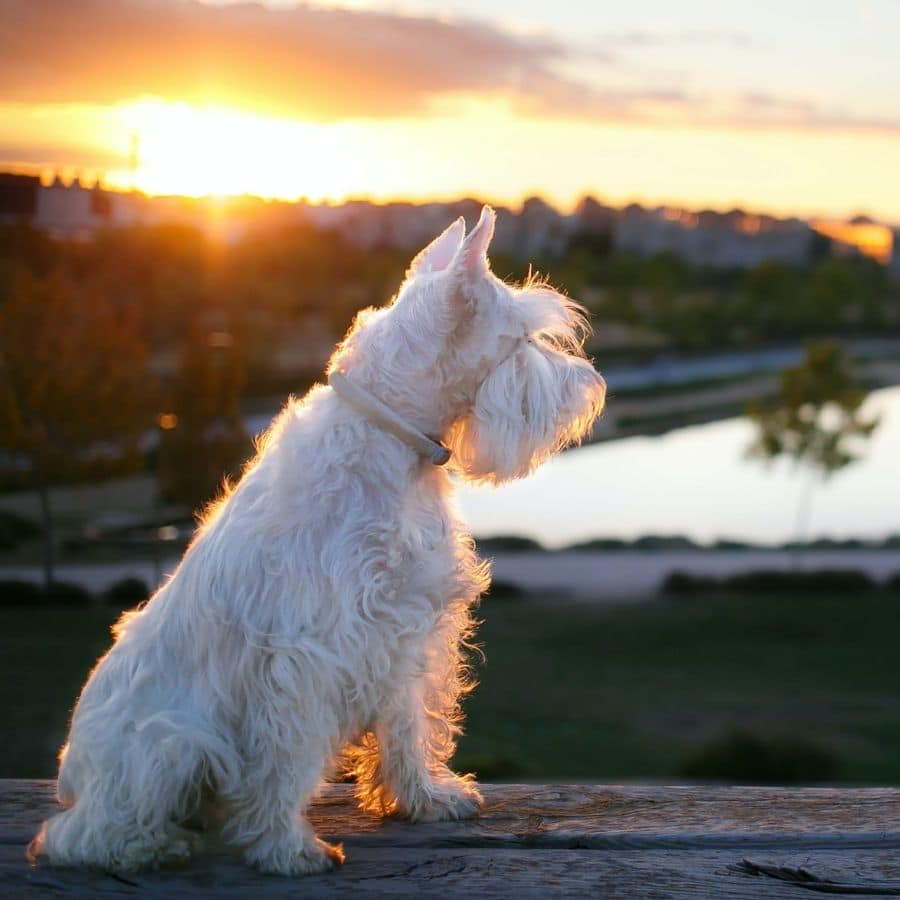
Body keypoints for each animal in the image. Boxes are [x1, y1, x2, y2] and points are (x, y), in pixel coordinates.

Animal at [29, 207, 604, 876]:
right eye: (522, 339)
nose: (590, 388)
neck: (391, 439)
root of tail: (70, 776)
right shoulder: (307, 655)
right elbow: (285, 761)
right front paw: (286, 848)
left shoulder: (403, 632)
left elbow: (408, 726)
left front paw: (424, 798)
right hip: (169, 743)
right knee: (81, 834)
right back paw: (154, 843)